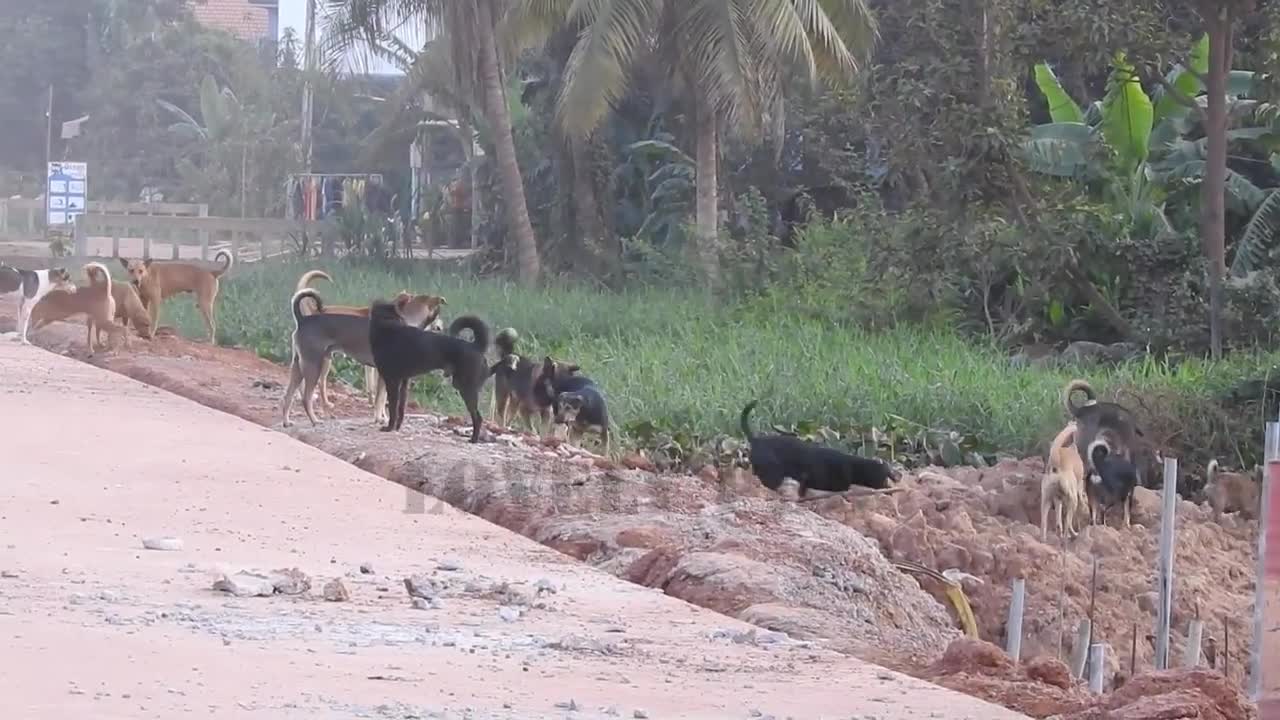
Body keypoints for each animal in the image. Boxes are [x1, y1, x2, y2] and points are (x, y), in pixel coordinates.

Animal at [293, 269, 448, 420]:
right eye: (439, 315)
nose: (442, 328)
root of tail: (308, 316)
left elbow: (382, 396)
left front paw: (382, 414)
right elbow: (380, 398)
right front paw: (379, 417)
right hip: (320, 361)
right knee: (316, 384)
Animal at [371, 295, 494, 440]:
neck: (388, 325)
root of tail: (476, 346)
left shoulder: (392, 381)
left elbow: (393, 408)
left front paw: (389, 428)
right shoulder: (404, 382)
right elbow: (401, 408)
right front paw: (397, 427)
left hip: (466, 388)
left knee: (478, 417)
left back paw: (473, 440)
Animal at [737, 397, 896, 499]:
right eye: (884, 478)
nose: (891, 490)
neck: (853, 465)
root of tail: (756, 439)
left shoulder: (807, 480)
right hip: (773, 473)